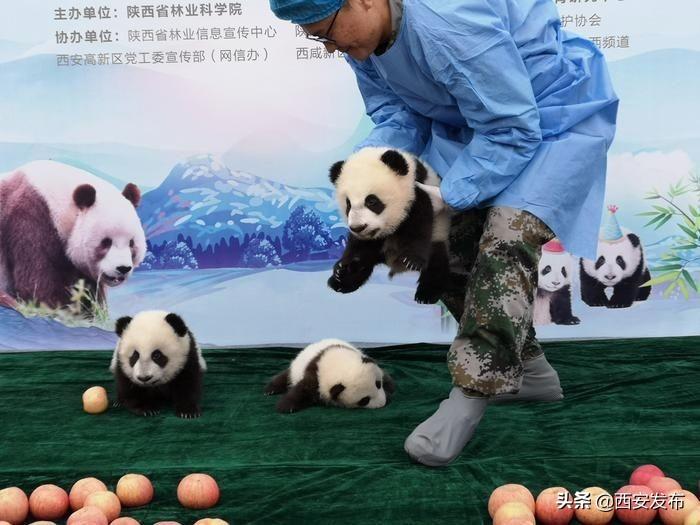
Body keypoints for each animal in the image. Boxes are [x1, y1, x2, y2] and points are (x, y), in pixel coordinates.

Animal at [326, 146, 452, 302]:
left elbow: (419, 227)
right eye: (348, 204)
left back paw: (427, 293)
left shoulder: (418, 194)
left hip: (440, 231)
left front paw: (411, 260)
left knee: (437, 258)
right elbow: (358, 247)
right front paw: (343, 269)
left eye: (371, 201)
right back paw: (340, 281)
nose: (358, 227)